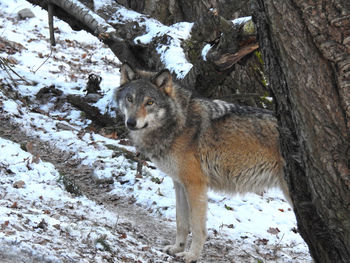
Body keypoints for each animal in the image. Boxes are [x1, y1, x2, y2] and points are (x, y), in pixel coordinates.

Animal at [115, 64, 290, 263]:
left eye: (150, 102)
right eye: (130, 99)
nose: (131, 122)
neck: (179, 123)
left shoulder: (195, 185)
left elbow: (197, 227)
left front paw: (191, 255)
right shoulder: (179, 184)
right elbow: (181, 222)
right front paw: (177, 248)